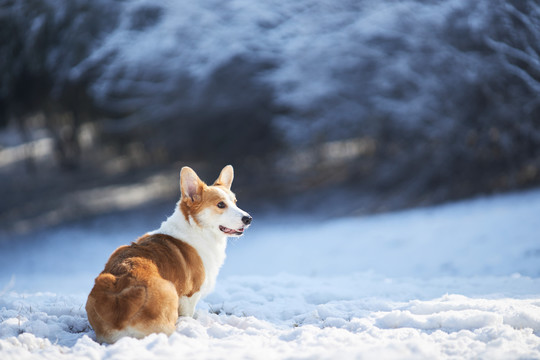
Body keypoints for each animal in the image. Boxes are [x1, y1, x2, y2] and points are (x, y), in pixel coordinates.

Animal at [85, 166, 252, 344]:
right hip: (170, 291)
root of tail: (121, 302)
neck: (197, 228)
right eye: (221, 204)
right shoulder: (190, 296)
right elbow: (189, 313)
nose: (248, 218)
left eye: (235, 202)